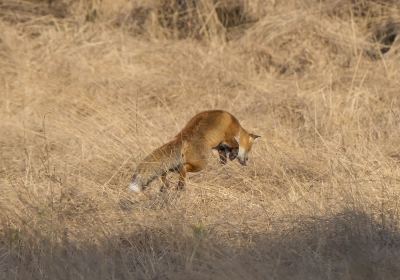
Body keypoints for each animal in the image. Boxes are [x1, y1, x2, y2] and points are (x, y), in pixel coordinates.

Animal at [126, 109, 260, 192]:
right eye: (249, 150)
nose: (247, 162)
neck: (238, 128)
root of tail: (183, 137)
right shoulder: (229, 136)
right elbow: (235, 145)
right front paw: (232, 155)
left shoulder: (219, 145)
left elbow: (222, 152)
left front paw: (224, 161)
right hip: (200, 164)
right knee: (183, 169)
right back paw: (180, 186)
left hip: (174, 166)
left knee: (163, 171)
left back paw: (166, 186)